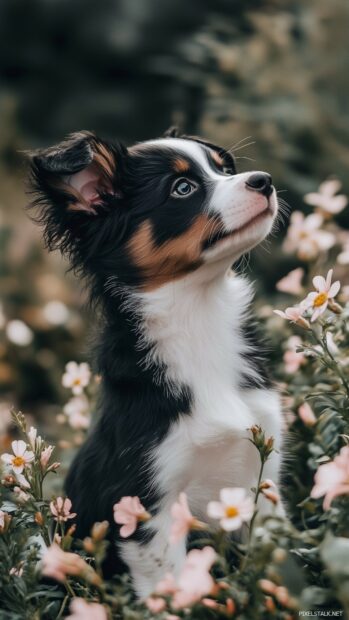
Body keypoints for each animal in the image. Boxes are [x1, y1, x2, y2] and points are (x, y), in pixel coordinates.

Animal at [27, 128, 282, 600]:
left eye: (225, 169)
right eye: (183, 189)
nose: (264, 180)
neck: (198, 315)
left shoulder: (264, 473)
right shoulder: (147, 507)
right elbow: (175, 589)